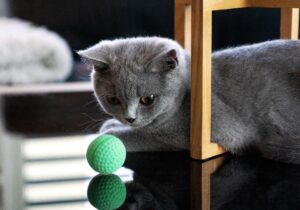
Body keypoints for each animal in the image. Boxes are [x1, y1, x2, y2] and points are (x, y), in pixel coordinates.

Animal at [79, 37, 300, 163]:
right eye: (113, 100)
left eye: (147, 99)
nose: (129, 118)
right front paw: (113, 124)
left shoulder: (210, 132)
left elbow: (148, 136)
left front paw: (113, 131)